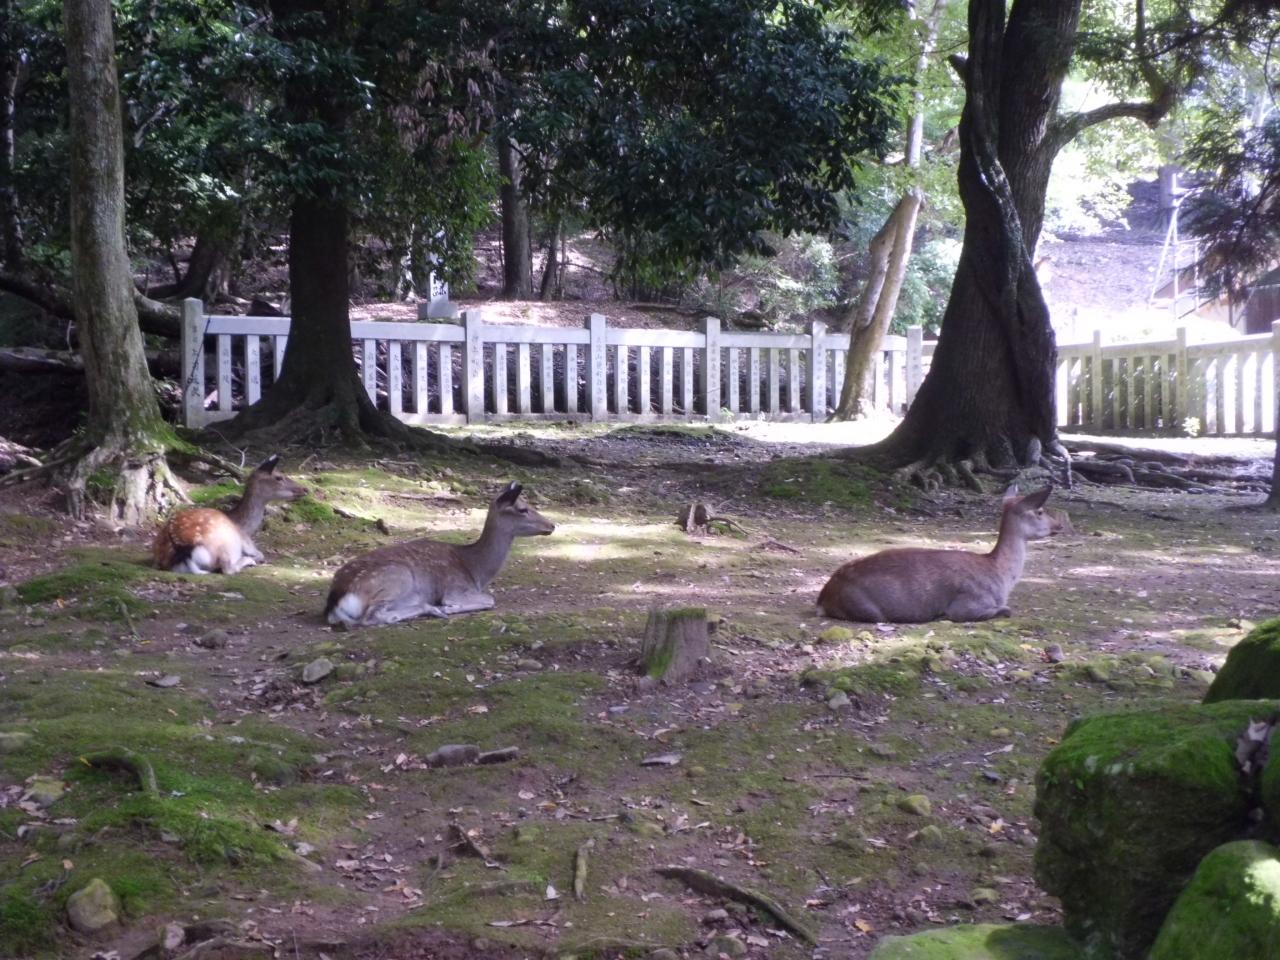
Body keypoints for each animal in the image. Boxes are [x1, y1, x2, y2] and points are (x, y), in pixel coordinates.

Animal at [153, 454, 307, 574]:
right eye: (279, 477)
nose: (305, 489)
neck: (245, 527)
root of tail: (183, 550)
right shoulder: (246, 541)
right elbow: (260, 553)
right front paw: (255, 557)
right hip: (225, 546)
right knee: (228, 569)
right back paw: (248, 561)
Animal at [325, 481, 555, 628]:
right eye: (523, 509)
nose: (552, 525)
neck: (476, 571)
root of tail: (335, 599)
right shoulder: (456, 588)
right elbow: (490, 599)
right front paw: (450, 607)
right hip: (398, 577)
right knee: (372, 616)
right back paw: (433, 609)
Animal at [817, 485, 1061, 624]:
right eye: (1040, 511)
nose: (1059, 525)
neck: (1001, 575)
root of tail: (823, 597)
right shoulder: (968, 603)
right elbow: (1006, 610)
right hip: (866, 608)